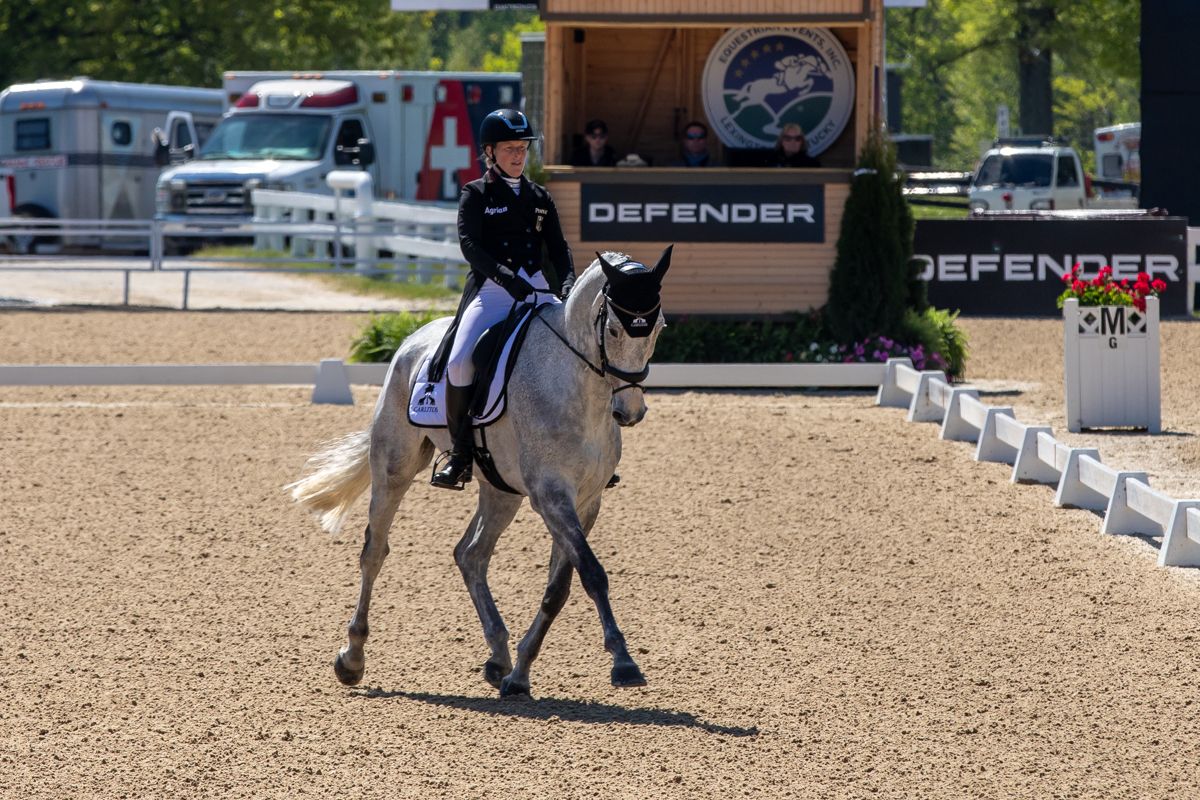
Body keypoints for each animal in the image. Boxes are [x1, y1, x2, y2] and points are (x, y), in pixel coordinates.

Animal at [286, 248, 672, 695]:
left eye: (658, 328)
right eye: (612, 329)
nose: (630, 413)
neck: (581, 392)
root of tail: (415, 339)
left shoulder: (586, 501)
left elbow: (559, 588)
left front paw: (520, 674)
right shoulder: (552, 497)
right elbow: (592, 574)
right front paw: (623, 661)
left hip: (501, 490)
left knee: (470, 554)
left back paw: (498, 656)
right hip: (394, 469)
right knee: (374, 553)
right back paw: (352, 658)